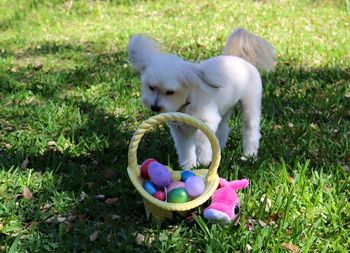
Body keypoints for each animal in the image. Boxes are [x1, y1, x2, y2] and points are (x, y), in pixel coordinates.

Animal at [127, 28, 274, 169]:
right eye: (151, 87)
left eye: (170, 92)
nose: (155, 107)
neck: (186, 104)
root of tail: (239, 59)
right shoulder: (179, 130)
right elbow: (185, 148)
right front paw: (188, 165)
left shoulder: (208, 120)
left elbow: (201, 138)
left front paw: (204, 159)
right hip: (225, 109)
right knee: (223, 129)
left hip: (250, 104)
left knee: (251, 130)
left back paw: (249, 156)